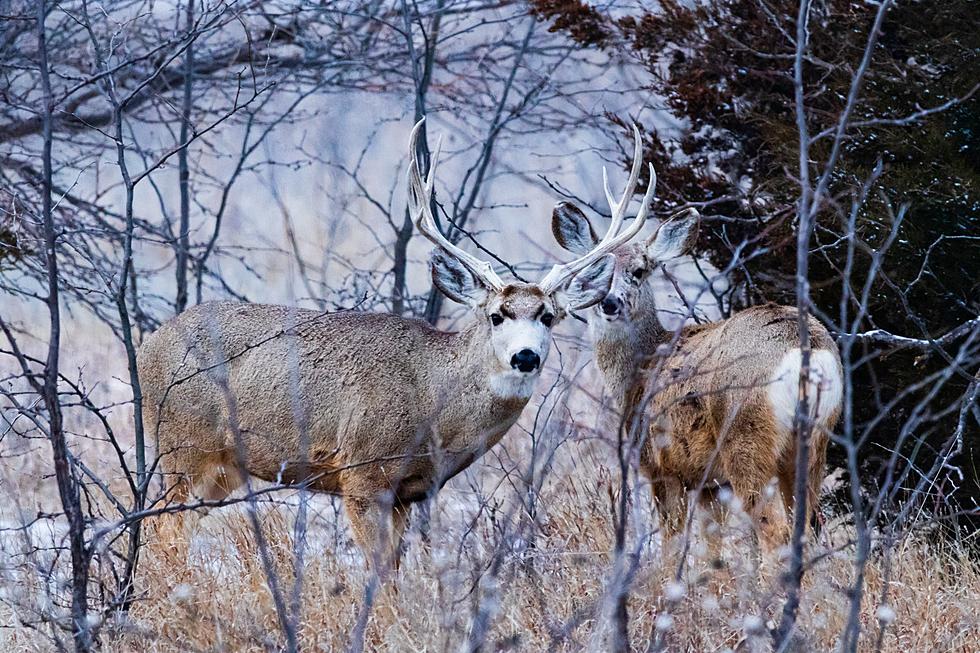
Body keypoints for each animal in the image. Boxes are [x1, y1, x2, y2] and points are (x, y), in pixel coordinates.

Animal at [136, 119, 660, 568]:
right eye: (497, 316)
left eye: (549, 317)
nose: (525, 356)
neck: (432, 402)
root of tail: (147, 346)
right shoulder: (361, 473)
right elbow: (378, 574)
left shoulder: (410, 493)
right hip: (183, 446)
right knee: (162, 532)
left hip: (219, 468)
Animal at [552, 199, 844, 556]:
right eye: (592, 271)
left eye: (639, 270)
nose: (609, 303)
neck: (641, 367)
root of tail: (809, 350)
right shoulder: (710, 484)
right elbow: (711, 546)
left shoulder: (661, 465)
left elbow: (673, 544)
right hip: (816, 440)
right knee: (810, 525)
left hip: (746, 437)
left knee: (775, 529)